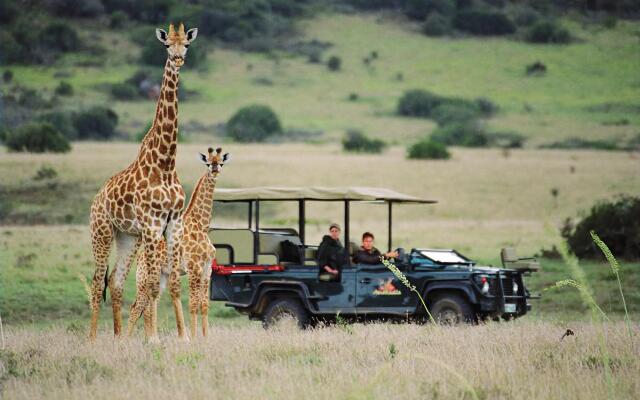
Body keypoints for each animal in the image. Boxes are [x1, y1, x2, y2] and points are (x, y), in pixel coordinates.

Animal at [87, 22, 198, 340]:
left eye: (186, 44)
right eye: (166, 45)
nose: (178, 59)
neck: (166, 163)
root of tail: (97, 198)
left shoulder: (173, 223)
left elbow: (173, 283)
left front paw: (184, 337)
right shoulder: (151, 223)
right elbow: (150, 285)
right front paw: (153, 339)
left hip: (128, 237)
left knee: (115, 281)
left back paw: (118, 339)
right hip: (102, 231)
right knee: (98, 281)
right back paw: (92, 341)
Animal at [133, 147, 230, 338]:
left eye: (221, 162)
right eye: (208, 163)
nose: (215, 169)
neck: (201, 225)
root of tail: (140, 257)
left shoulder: (207, 269)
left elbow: (204, 305)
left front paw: (205, 338)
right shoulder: (194, 268)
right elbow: (193, 305)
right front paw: (193, 338)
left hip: (161, 277)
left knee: (148, 307)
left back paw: (148, 339)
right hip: (143, 279)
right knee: (136, 308)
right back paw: (124, 340)